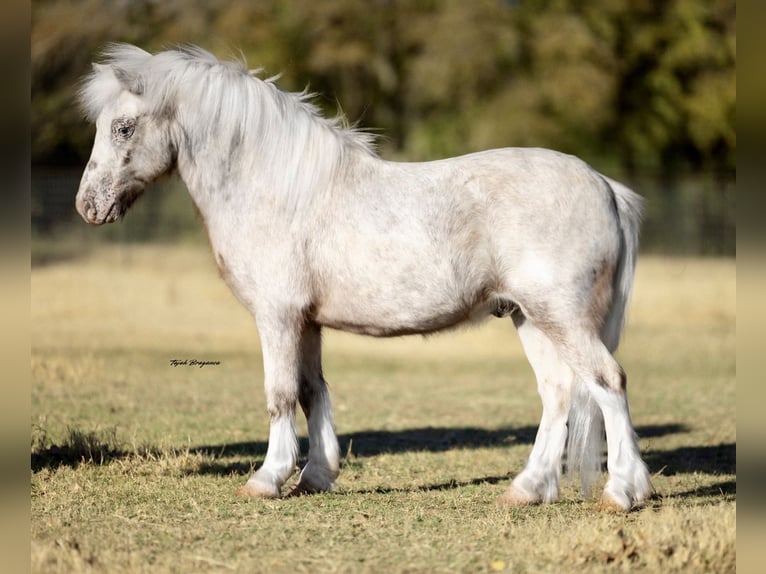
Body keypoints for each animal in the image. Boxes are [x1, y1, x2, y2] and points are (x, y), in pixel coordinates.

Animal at [75, 44, 652, 510]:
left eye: (123, 127)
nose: (88, 206)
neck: (278, 187)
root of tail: (605, 186)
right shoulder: (306, 321)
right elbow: (312, 391)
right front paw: (314, 476)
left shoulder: (277, 316)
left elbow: (279, 392)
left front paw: (267, 479)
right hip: (528, 317)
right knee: (558, 393)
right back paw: (527, 490)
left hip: (561, 317)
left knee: (607, 382)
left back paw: (622, 492)